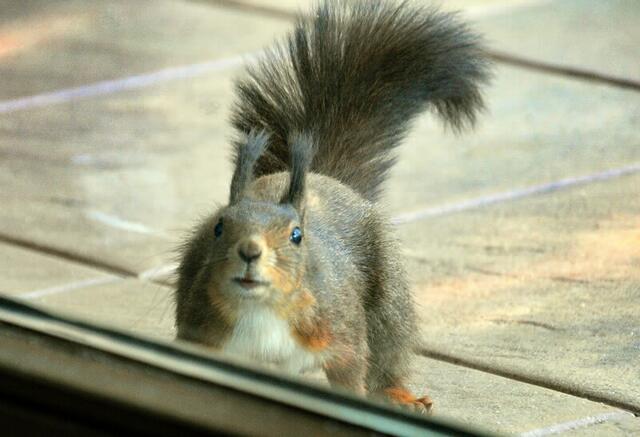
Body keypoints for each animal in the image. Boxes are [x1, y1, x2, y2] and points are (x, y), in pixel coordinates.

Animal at [172, 0, 488, 412]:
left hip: (388, 301)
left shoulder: (338, 330)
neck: (261, 308)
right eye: (219, 227)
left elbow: (351, 370)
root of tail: (327, 179)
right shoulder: (201, 330)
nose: (249, 251)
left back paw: (399, 395)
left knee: (387, 353)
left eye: (296, 235)